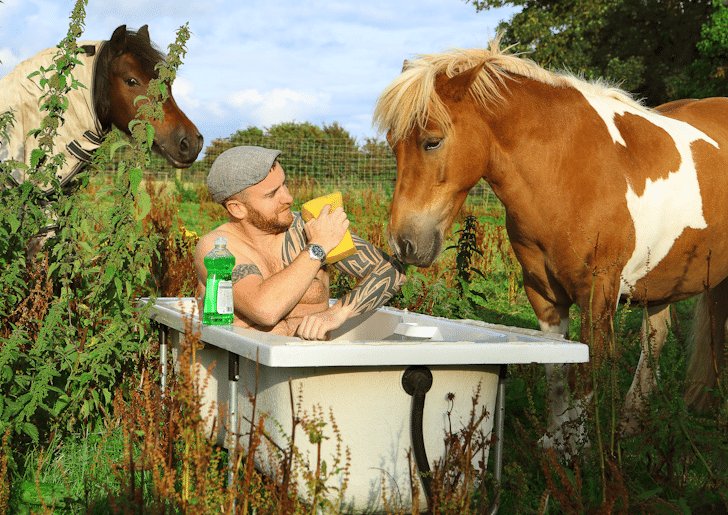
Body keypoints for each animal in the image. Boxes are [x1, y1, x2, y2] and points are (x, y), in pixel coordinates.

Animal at [376, 36, 728, 452]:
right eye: (393, 144)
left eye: (432, 142)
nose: (404, 242)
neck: (565, 169)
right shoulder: (542, 292)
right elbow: (556, 365)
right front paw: (556, 440)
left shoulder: (597, 296)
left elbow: (587, 371)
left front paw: (581, 446)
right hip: (660, 278)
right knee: (655, 339)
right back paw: (632, 422)